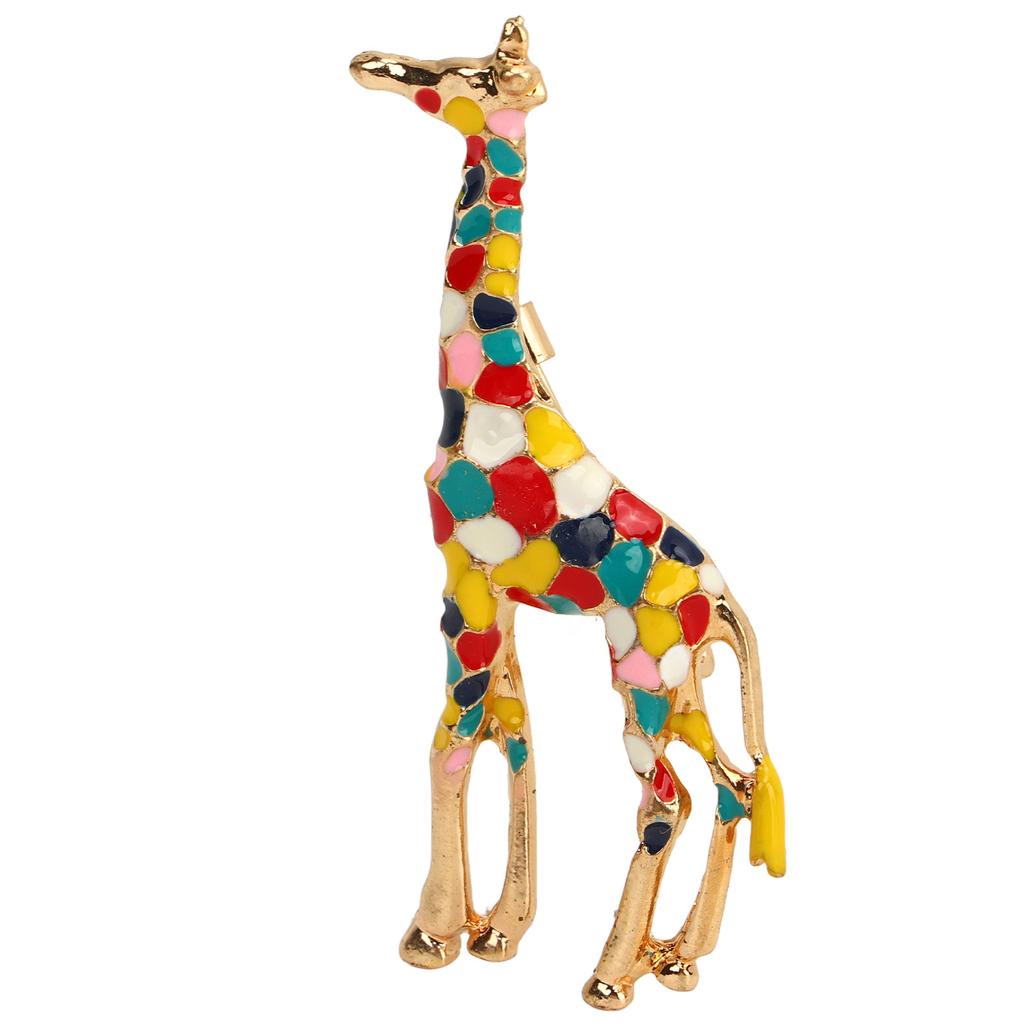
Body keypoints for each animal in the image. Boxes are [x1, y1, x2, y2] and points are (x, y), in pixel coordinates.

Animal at [350, 18, 785, 1010]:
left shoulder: (461, 581)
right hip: (683, 683)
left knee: (666, 800)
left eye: (473, 76)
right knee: (734, 786)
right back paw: (677, 960)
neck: (488, 395)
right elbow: (513, 737)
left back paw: (609, 978)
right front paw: (497, 931)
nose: (376, 67)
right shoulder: (497, 592)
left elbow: (450, 744)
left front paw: (429, 936)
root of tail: (725, 602)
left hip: (642, 671)